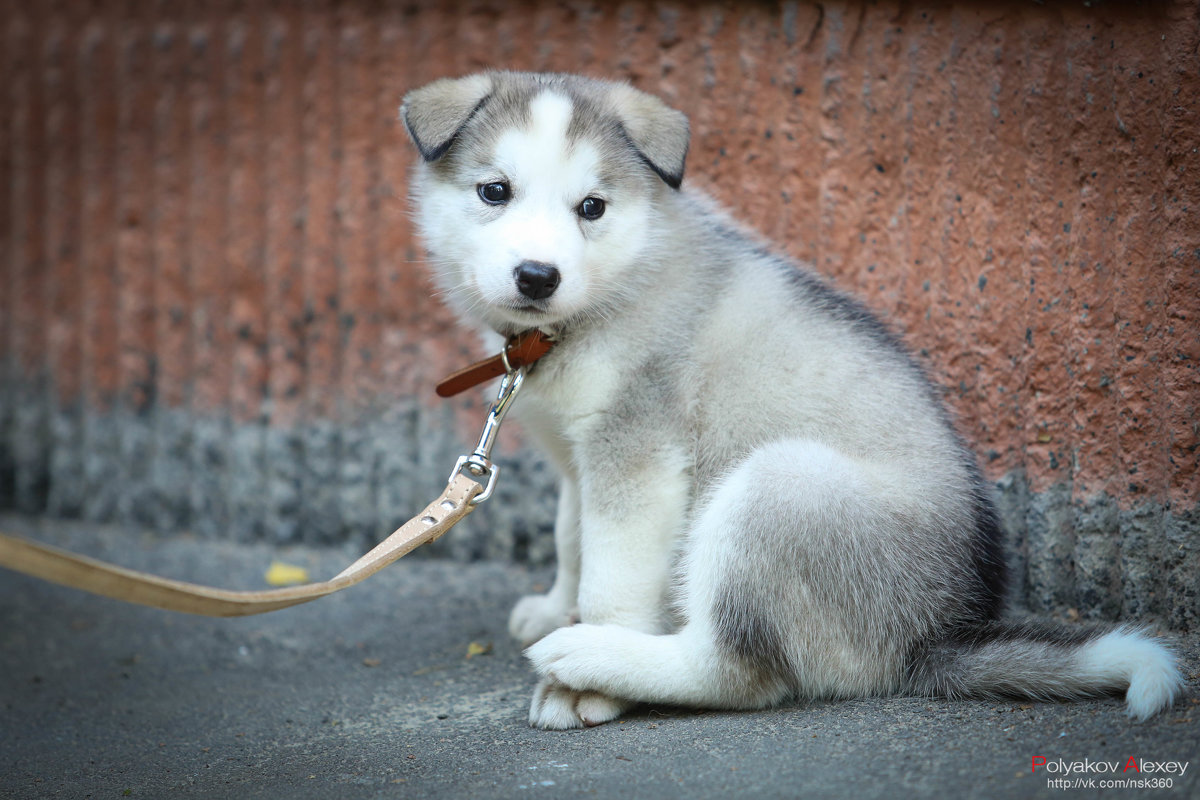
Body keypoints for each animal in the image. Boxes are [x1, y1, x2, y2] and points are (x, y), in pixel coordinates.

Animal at [400, 71, 1180, 729]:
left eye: (592, 207)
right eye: (494, 192)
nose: (537, 276)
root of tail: (934, 635)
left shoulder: (637, 453)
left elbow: (612, 574)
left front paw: (581, 674)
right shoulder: (578, 452)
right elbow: (571, 536)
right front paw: (556, 608)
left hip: (777, 487)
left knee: (738, 673)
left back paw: (596, 658)